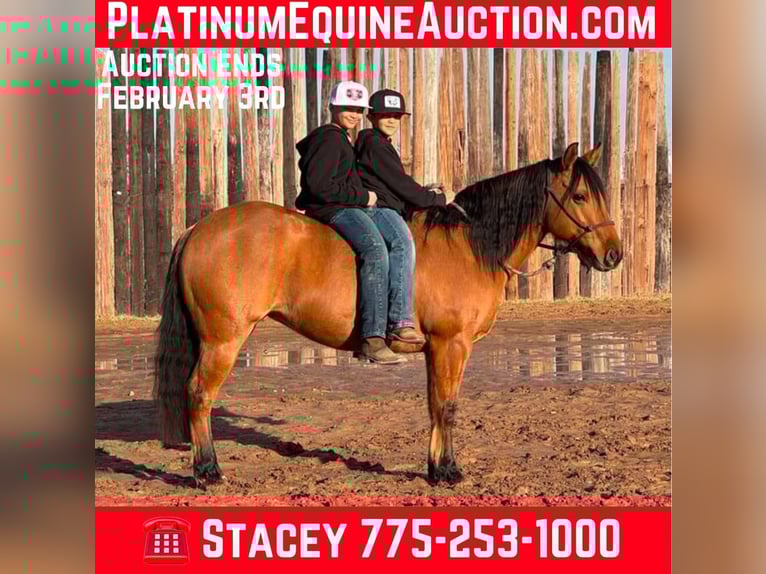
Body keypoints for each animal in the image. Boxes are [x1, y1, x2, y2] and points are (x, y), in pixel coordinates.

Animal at [154, 142, 622, 485]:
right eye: (580, 195)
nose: (613, 254)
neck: (469, 244)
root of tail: (199, 228)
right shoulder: (452, 345)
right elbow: (448, 406)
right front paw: (449, 472)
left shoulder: (437, 349)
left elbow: (434, 405)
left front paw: (436, 467)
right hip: (223, 340)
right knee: (199, 394)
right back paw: (208, 470)